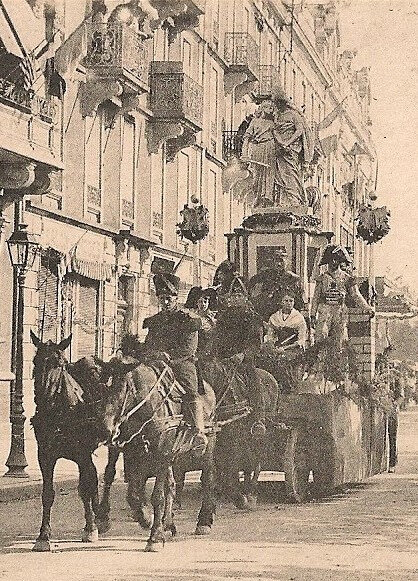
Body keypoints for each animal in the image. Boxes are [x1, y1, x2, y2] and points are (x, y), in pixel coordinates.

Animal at [29, 334, 109, 552]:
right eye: (36, 361)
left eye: (60, 364)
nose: (42, 398)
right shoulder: (44, 455)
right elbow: (48, 493)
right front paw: (43, 536)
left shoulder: (82, 454)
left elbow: (86, 486)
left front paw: (91, 528)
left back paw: (100, 519)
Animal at [96, 352, 217, 552]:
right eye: (102, 386)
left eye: (123, 388)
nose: (105, 429)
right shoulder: (133, 453)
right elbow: (129, 490)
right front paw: (144, 518)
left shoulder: (162, 455)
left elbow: (157, 496)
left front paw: (155, 537)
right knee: (173, 485)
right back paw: (168, 524)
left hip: (206, 449)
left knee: (207, 479)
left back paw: (203, 522)